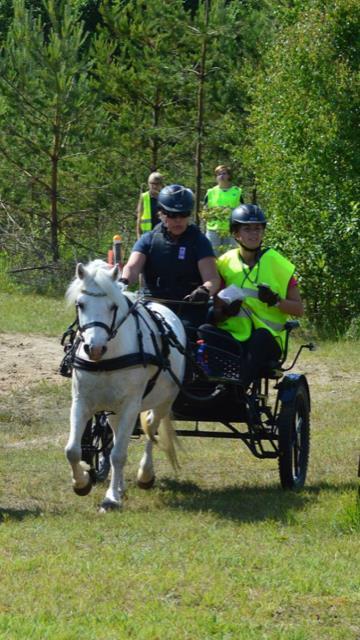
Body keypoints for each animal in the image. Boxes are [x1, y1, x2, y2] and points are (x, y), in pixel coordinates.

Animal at [64, 258, 186, 512]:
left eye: (113, 306)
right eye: (80, 304)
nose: (94, 348)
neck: (107, 358)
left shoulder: (131, 405)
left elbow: (119, 454)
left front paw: (110, 498)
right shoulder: (81, 402)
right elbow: (72, 450)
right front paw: (82, 483)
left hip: (162, 402)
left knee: (150, 432)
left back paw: (145, 475)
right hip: (113, 410)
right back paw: (119, 485)